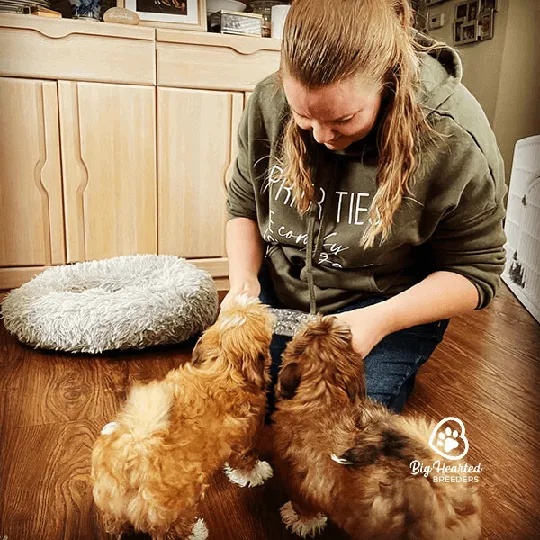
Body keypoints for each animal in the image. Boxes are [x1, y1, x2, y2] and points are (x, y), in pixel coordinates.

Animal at [90, 296, 274, 540]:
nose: (249, 297)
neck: (223, 368)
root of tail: (132, 454)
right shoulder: (245, 439)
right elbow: (246, 460)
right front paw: (258, 473)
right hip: (179, 501)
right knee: (172, 529)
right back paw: (196, 532)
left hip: (111, 501)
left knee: (113, 521)